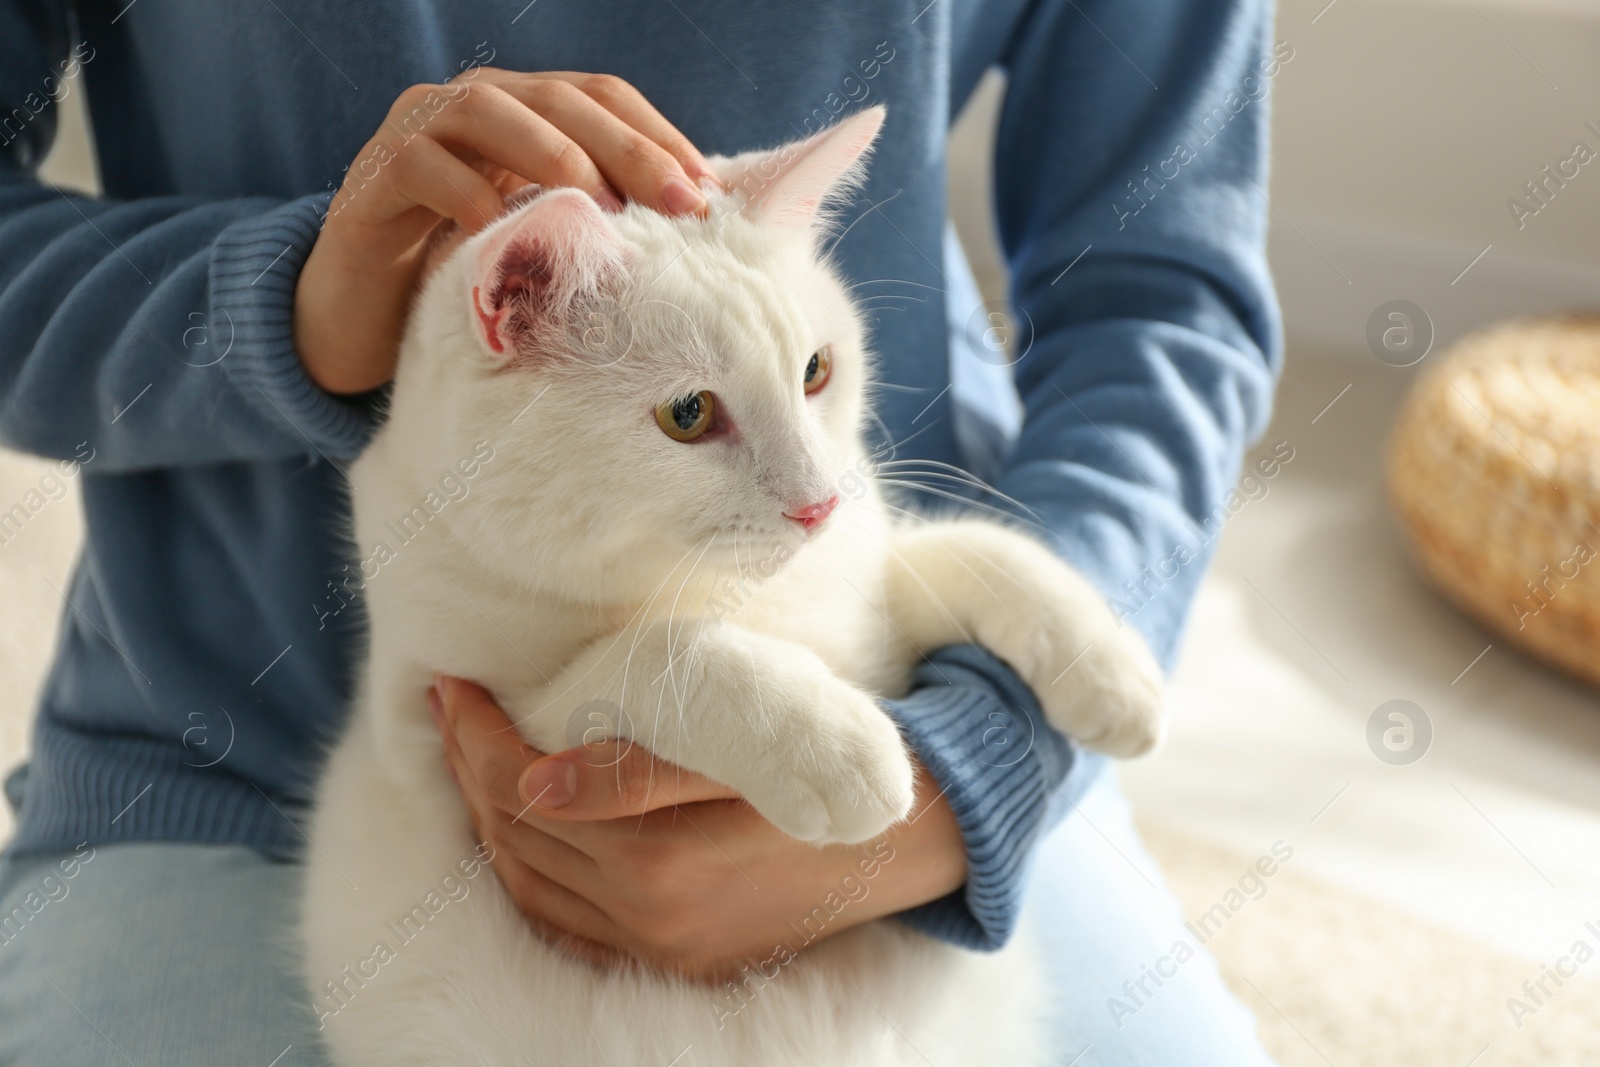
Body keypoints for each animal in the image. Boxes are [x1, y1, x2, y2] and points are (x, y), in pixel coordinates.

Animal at [302, 106, 1164, 1067]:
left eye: (816, 370)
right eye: (689, 414)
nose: (820, 504)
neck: (730, 593)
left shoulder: (855, 588)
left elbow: (949, 551)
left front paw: (1103, 663)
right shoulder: (452, 742)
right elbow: (647, 655)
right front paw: (828, 740)